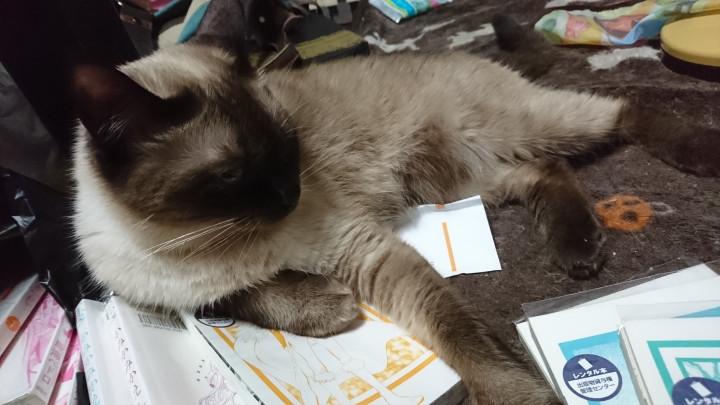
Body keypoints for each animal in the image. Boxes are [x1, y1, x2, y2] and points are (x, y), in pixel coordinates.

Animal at [70, 15, 719, 404]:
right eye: (232, 174)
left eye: (289, 145)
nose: (289, 195)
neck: (197, 239)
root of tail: (463, 56)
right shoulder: (158, 295)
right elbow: (247, 297)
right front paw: (327, 309)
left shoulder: (363, 251)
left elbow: (460, 335)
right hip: (456, 179)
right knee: (544, 170)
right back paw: (577, 249)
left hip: (517, 132)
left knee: (621, 105)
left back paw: (695, 157)